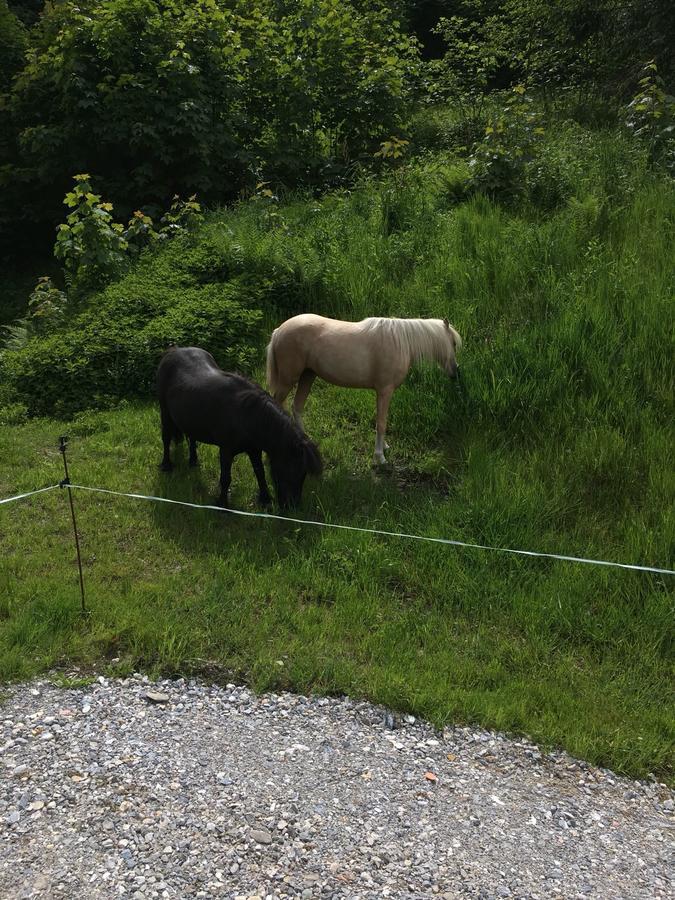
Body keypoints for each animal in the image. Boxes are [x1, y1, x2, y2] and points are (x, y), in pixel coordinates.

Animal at [157, 348, 324, 510]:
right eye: (291, 470)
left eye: (303, 474)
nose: (291, 506)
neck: (246, 415)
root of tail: (172, 351)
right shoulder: (226, 451)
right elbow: (226, 478)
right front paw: (222, 504)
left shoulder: (254, 450)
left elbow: (260, 472)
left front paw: (265, 499)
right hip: (165, 412)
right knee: (166, 438)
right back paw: (166, 465)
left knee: (191, 437)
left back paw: (193, 461)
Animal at [266, 314, 462, 464]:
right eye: (452, 343)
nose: (456, 373)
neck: (401, 342)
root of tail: (278, 331)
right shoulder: (384, 390)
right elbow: (381, 423)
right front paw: (380, 457)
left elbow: (382, 420)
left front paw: (384, 447)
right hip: (289, 379)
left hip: (308, 376)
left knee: (297, 406)